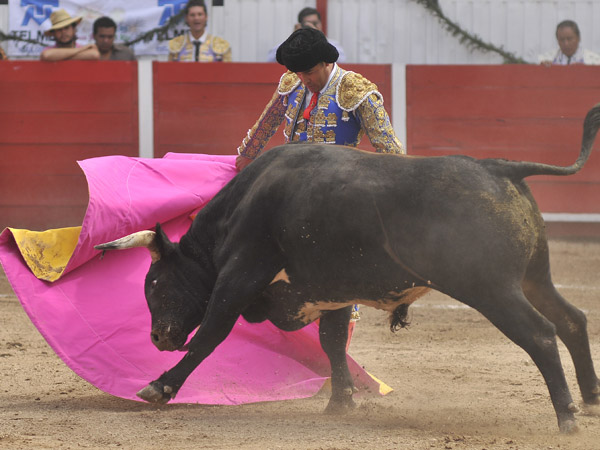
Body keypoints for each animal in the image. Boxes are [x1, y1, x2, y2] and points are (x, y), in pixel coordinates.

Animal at [95, 104, 600, 432]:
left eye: (156, 283)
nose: (158, 337)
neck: (241, 208)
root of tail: (501, 169)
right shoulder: (331, 290)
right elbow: (333, 342)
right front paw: (341, 403)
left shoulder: (240, 275)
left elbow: (210, 335)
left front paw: (159, 387)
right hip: (533, 278)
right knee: (572, 319)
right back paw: (591, 400)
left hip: (491, 288)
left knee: (540, 333)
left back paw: (567, 417)